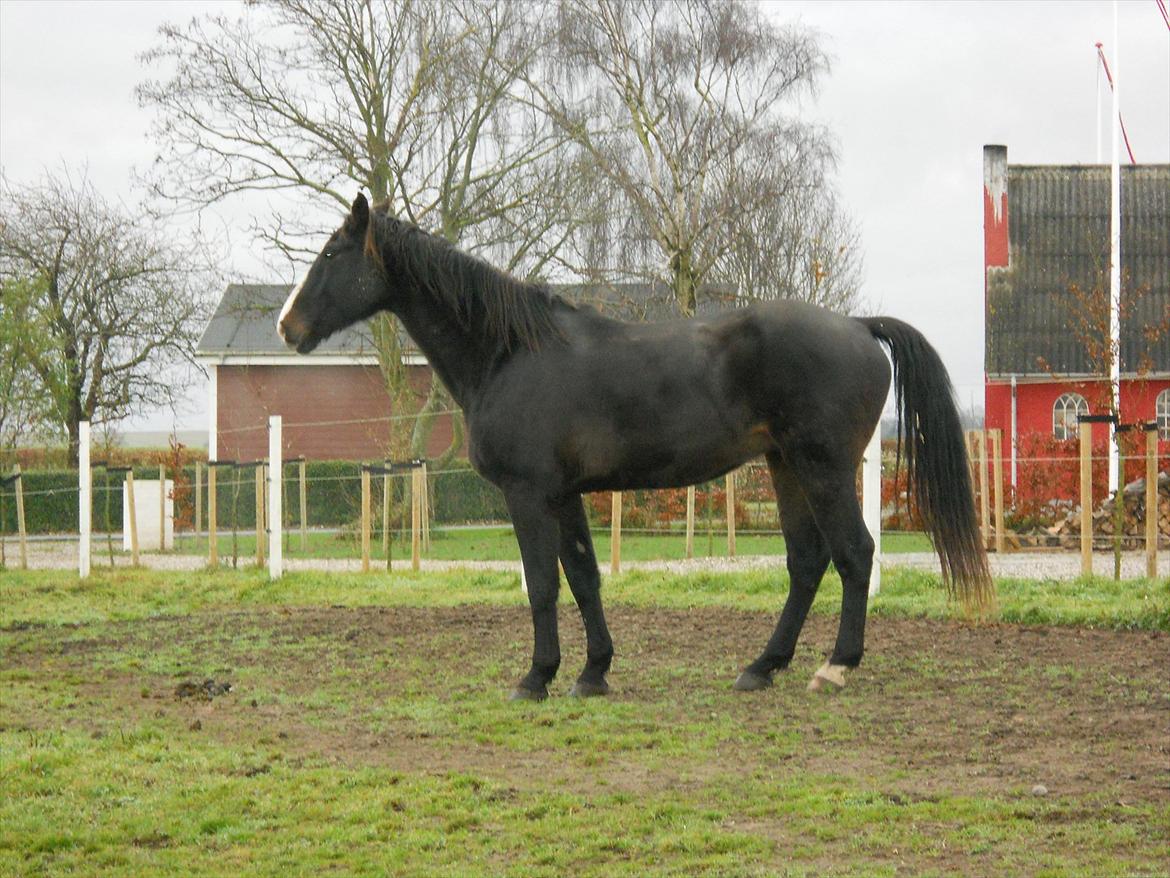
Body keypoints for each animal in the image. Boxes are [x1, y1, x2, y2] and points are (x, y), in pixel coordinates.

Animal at [278, 197, 992, 702]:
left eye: (332, 254)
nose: (288, 327)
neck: (511, 354)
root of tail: (858, 326)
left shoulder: (529, 494)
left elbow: (542, 584)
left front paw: (535, 678)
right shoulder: (565, 496)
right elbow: (584, 577)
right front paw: (592, 673)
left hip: (824, 468)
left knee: (854, 554)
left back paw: (835, 668)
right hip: (786, 467)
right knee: (807, 561)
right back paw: (762, 666)